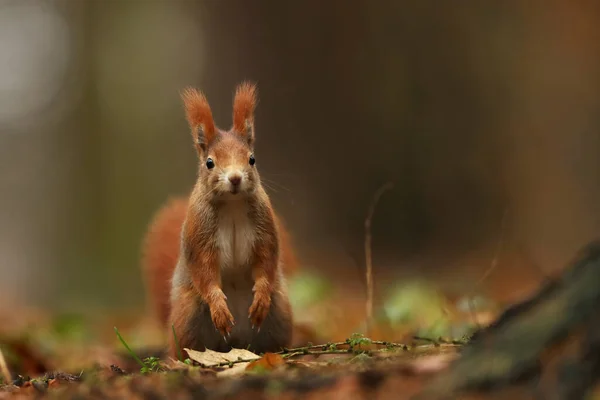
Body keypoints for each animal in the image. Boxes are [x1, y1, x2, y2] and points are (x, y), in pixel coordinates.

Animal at [143, 83, 298, 358]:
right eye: (209, 162)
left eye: (252, 159)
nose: (235, 178)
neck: (232, 204)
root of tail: (234, 344)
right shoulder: (199, 235)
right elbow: (204, 272)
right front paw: (219, 308)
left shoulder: (266, 230)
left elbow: (267, 261)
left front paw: (260, 297)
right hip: (188, 318)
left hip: (280, 313)